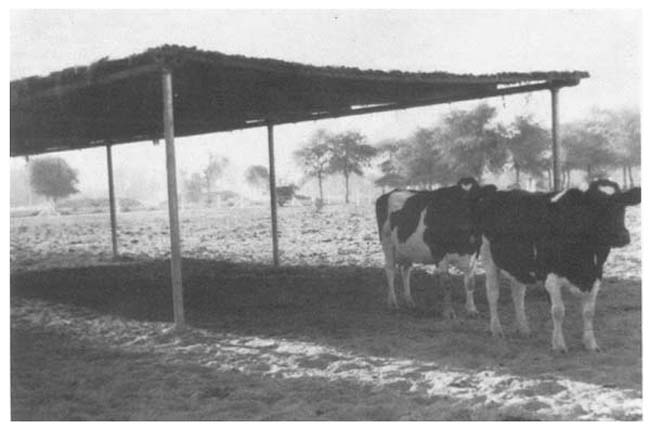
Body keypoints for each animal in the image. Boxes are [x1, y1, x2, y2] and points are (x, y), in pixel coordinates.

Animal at [376, 178, 496, 318]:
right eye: (455, 200)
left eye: (477, 199)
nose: (465, 224)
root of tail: (389, 193)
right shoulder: (439, 253)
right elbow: (447, 283)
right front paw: (448, 312)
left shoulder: (473, 254)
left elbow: (470, 283)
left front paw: (472, 310)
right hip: (387, 243)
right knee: (390, 270)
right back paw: (393, 303)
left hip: (407, 249)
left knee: (405, 271)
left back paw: (409, 301)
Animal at [478, 179, 641, 352]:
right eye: (595, 206)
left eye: (623, 205)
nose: (623, 236)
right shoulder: (551, 276)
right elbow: (558, 311)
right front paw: (559, 345)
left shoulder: (596, 275)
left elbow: (589, 312)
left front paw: (591, 344)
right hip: (488, 258)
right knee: (493, 294)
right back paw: (496, 329)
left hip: (519, 266)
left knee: (518, 294)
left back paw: (523, 329)